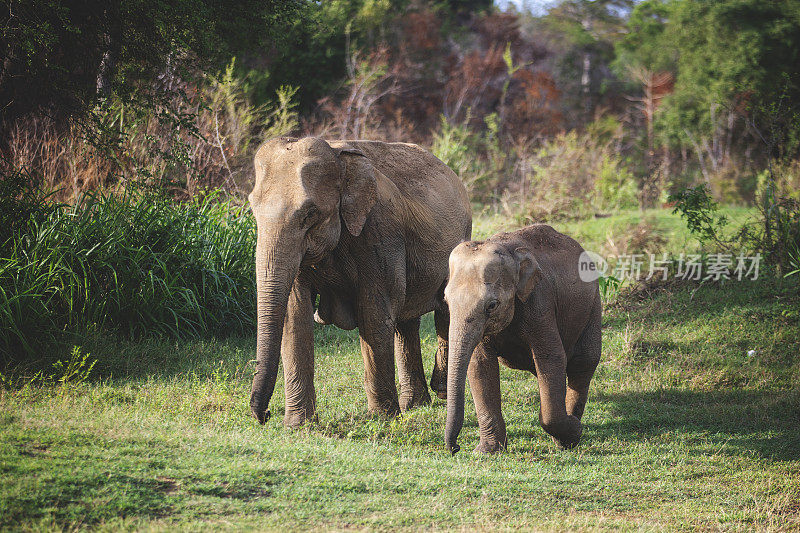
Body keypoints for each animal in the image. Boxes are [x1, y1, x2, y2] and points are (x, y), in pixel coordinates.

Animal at [245, 135, 468, 426]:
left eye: (309, 214)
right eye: (253, 210)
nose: (264, 415)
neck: (338, 157)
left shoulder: (379, 231)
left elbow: (374, 313)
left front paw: (383, 418)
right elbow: (294, 317)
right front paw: (298, 425)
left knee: (443, 309)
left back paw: (439, 391)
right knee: (406, 321)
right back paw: (415, 404)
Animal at [444, 224, 600, 454]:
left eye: (491, 305)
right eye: (446, 301)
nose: (456, 447)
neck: (510, 254)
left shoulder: (539, 302)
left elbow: (551, 358)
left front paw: (573, 433)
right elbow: (480, 365)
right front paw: (487, 451)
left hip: (593, 306)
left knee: (583, 363)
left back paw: (569, 432)